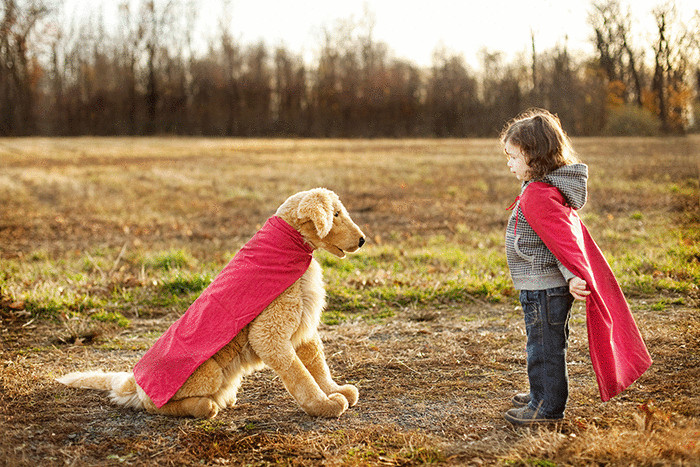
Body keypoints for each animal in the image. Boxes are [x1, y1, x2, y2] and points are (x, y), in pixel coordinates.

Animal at [54, 188, 366, 418]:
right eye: (335, 214)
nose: (363, 240)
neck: (291, 249)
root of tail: (133, 383)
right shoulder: (270, 335)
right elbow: (300, 374)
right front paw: (324, 405)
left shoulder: (304, 330)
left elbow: (317, 365)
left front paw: (337, 390)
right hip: (208, 373)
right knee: (157, 406)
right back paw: (205, 406)